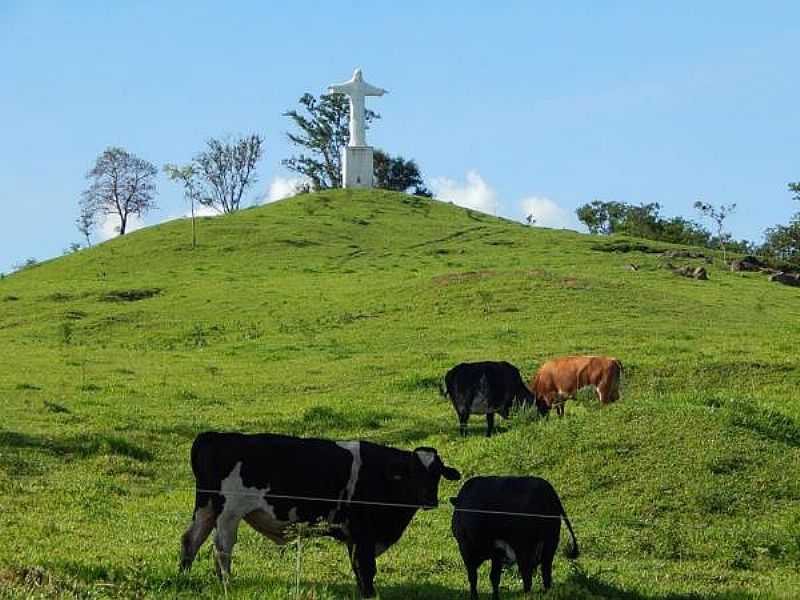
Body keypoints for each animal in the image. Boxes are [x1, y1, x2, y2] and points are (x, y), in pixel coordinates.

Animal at [178, 432, 460, 596]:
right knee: (222, 549)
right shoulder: (363, 532)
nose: (430, 499)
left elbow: (358, 567)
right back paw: (227, 584)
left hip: (207, 508)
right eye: (413, 472)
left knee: (191, 539)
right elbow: (366, 567)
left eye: (437, 474)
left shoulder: (354, 535)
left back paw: (184, 575)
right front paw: (369, 593)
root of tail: (212, 436)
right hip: (229, 513)